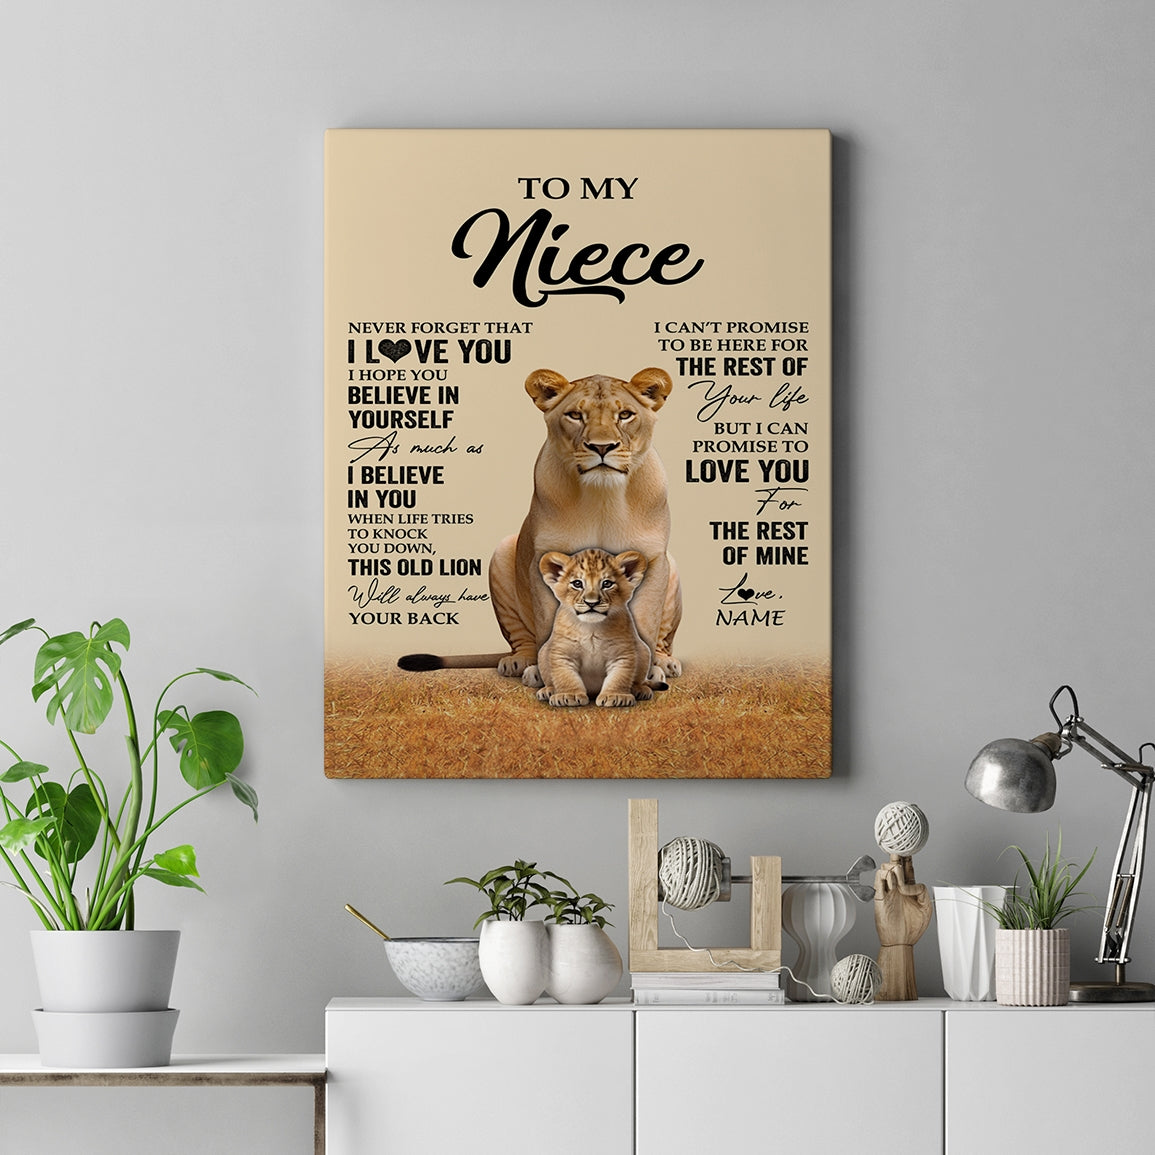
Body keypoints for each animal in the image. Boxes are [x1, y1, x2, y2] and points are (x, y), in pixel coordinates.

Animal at [397, 367, 681, 680]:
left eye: (625, 415)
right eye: (575, 415)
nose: (602, 447)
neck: (602, 496)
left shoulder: (653, 559)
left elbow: (647, 621)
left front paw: (646, 671)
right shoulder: (543, 560)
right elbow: (549, 621)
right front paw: (546, 672)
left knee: (662, 636)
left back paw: (665, 661)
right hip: (502, 553)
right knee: (522, 637)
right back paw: (520, 661)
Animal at [535, 549, 665, 708]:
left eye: (607, 583)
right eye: (577, 583)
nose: (592, 603)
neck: (591, 628)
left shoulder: (621, 654)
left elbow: (619, 677)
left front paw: (615, 696)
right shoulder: (563, 654)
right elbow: (565, 676)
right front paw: (569, 695)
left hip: (644, 650)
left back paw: (640, 690)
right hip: (542, 652)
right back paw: (548, 690)